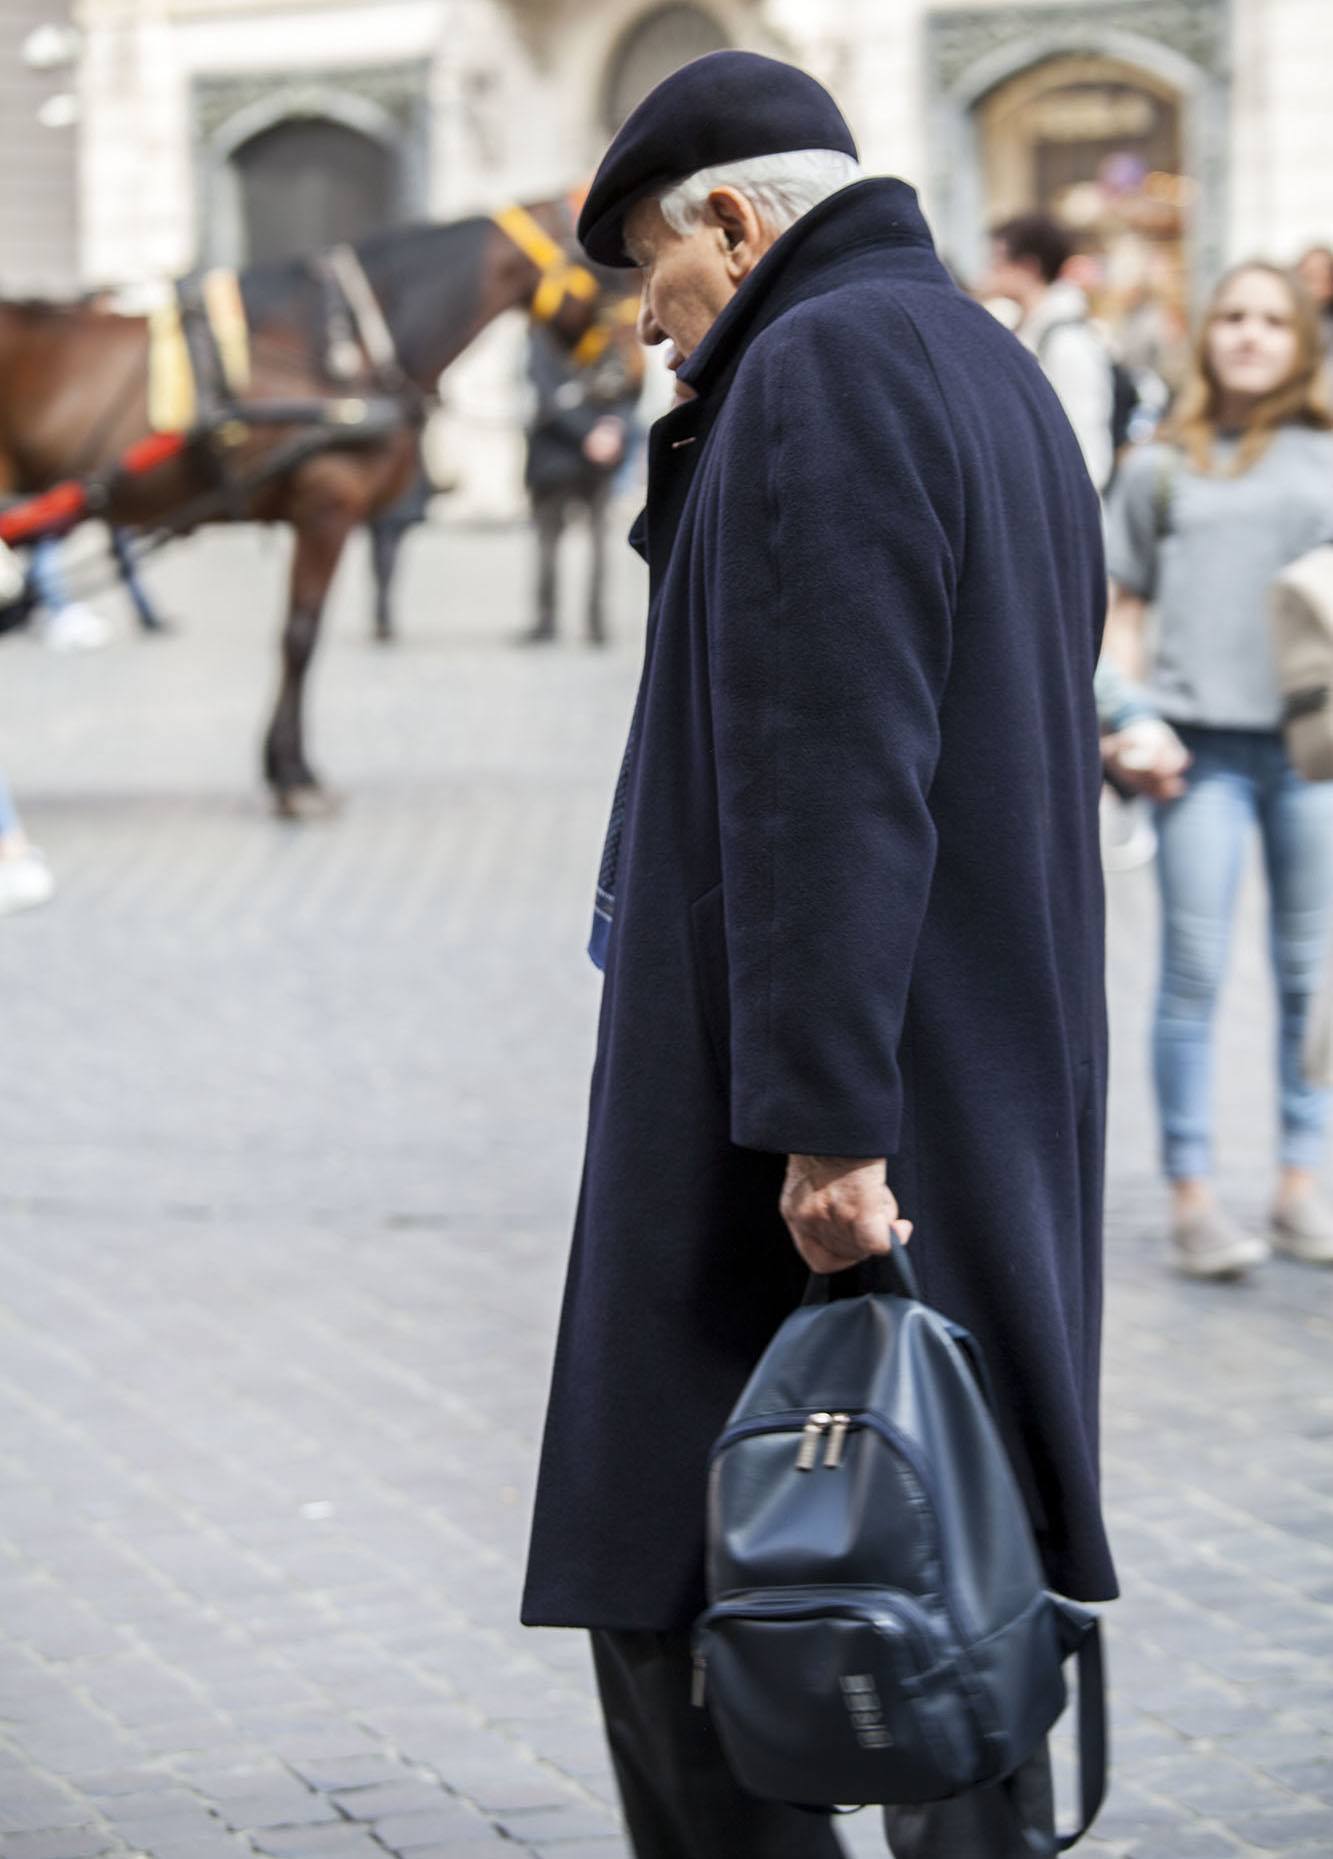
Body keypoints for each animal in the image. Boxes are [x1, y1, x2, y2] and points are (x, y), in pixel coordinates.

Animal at [0, 203, 635, 814]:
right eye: (611, 262)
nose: (630, 378)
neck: (345, 345)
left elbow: (304, 637)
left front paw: (289, 767)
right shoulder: (326, 510)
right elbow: (300, 637)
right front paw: (292, 776)